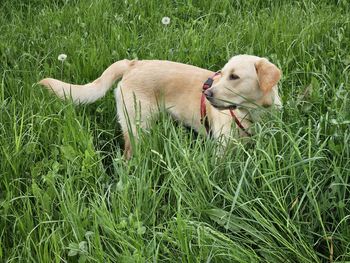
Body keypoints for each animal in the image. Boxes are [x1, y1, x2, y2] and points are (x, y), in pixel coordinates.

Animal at [39, 54, 282, 159]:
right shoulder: (221, 151)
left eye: (234, 77)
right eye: (221, 74)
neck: (252, 113)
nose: (207, 93)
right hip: (137, 127)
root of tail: (133, 64)